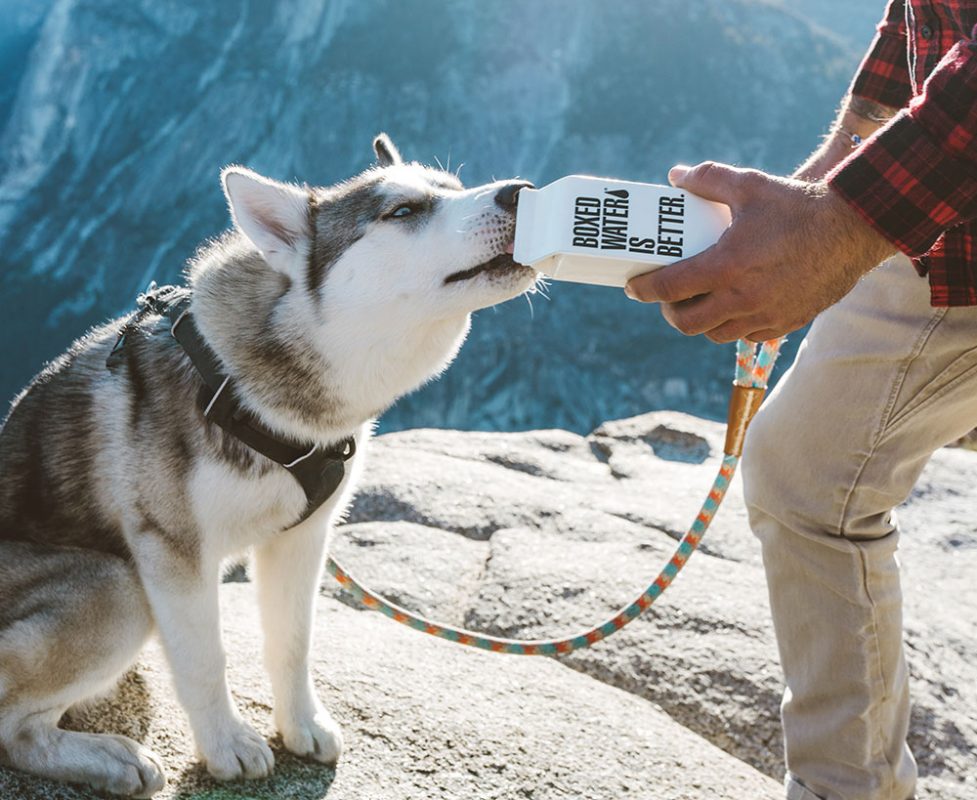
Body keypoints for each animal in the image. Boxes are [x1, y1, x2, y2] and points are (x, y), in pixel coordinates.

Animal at [0, 134, 532, 796]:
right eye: (403, 211)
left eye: (453, 188)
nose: (521, 191)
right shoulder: (172, 552)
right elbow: (205, 658)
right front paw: (225, 744)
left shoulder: (303, 536)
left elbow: (293, 640)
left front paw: (300, 724)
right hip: (119, 587)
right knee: (14, 729)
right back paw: (107, 759)